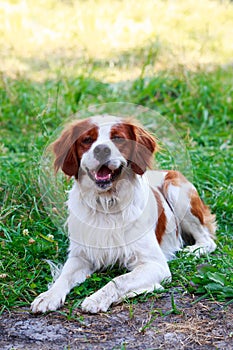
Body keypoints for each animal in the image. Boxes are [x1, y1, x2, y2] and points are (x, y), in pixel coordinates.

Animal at [31, 115, 217, 314]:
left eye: (118, 138)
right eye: (87, 140)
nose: (102, 150)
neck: (107, 203)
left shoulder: (156, 264)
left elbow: (119, 280)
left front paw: (96, 299)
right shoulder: (81, 255)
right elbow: (64, 277)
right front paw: (48, 296)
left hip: (177, 192)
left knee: (208, 240)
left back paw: (192, 251)